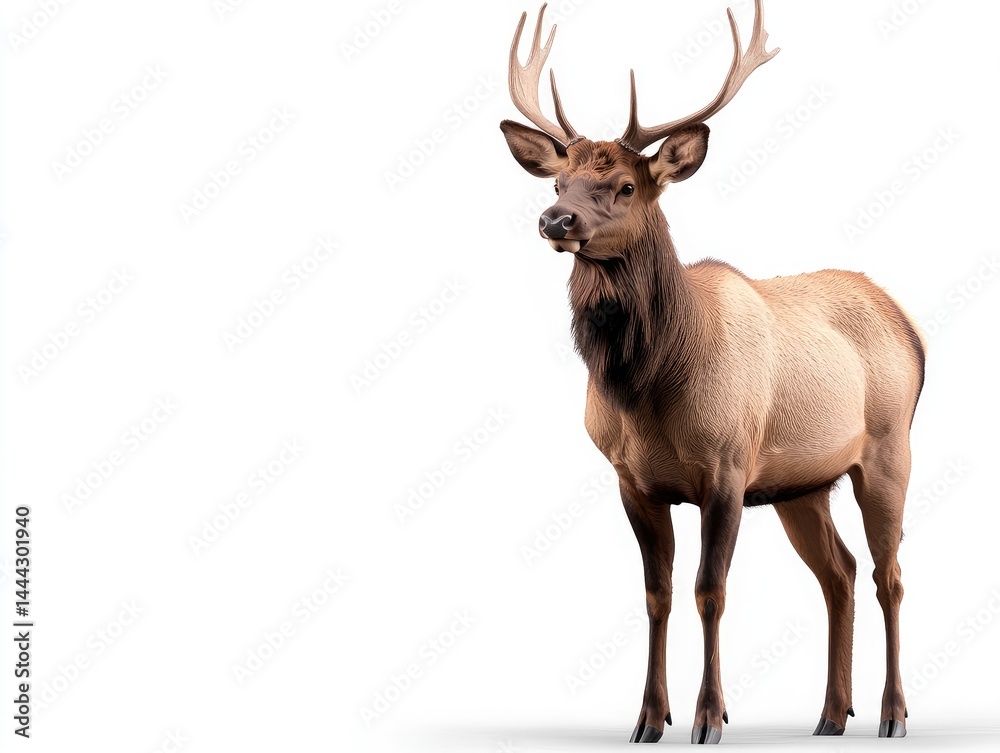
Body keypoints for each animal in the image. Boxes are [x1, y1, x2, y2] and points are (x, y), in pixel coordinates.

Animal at [499, 0, 925, 744]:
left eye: (626, 185)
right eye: (558, 178)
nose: (555, 218)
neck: (647, 389)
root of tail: (913, 327)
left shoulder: (726, 466)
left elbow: (709, 589)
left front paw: (708, 715)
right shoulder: (632, 479)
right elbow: (656, 592)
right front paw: (647, 717)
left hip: (887, 447)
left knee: (889, 573)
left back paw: (892, 714)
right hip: (801, 482)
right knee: (839, 572)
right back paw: (830, 713)